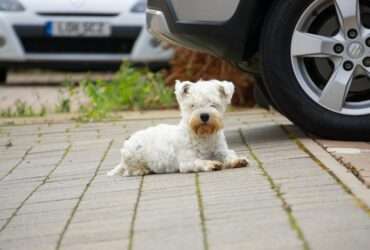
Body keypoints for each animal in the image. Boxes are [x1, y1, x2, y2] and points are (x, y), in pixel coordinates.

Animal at [108, 79, 250, 176]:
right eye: (192, 105)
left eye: (213, 104)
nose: (204, 116)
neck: (203, 135)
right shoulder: (186, 161)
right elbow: (198, 161)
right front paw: (210, 163)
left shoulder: (221, 150)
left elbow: (228, 155)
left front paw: (238, 160)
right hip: (132, 154)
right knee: (129, 170)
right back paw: (142, 170)